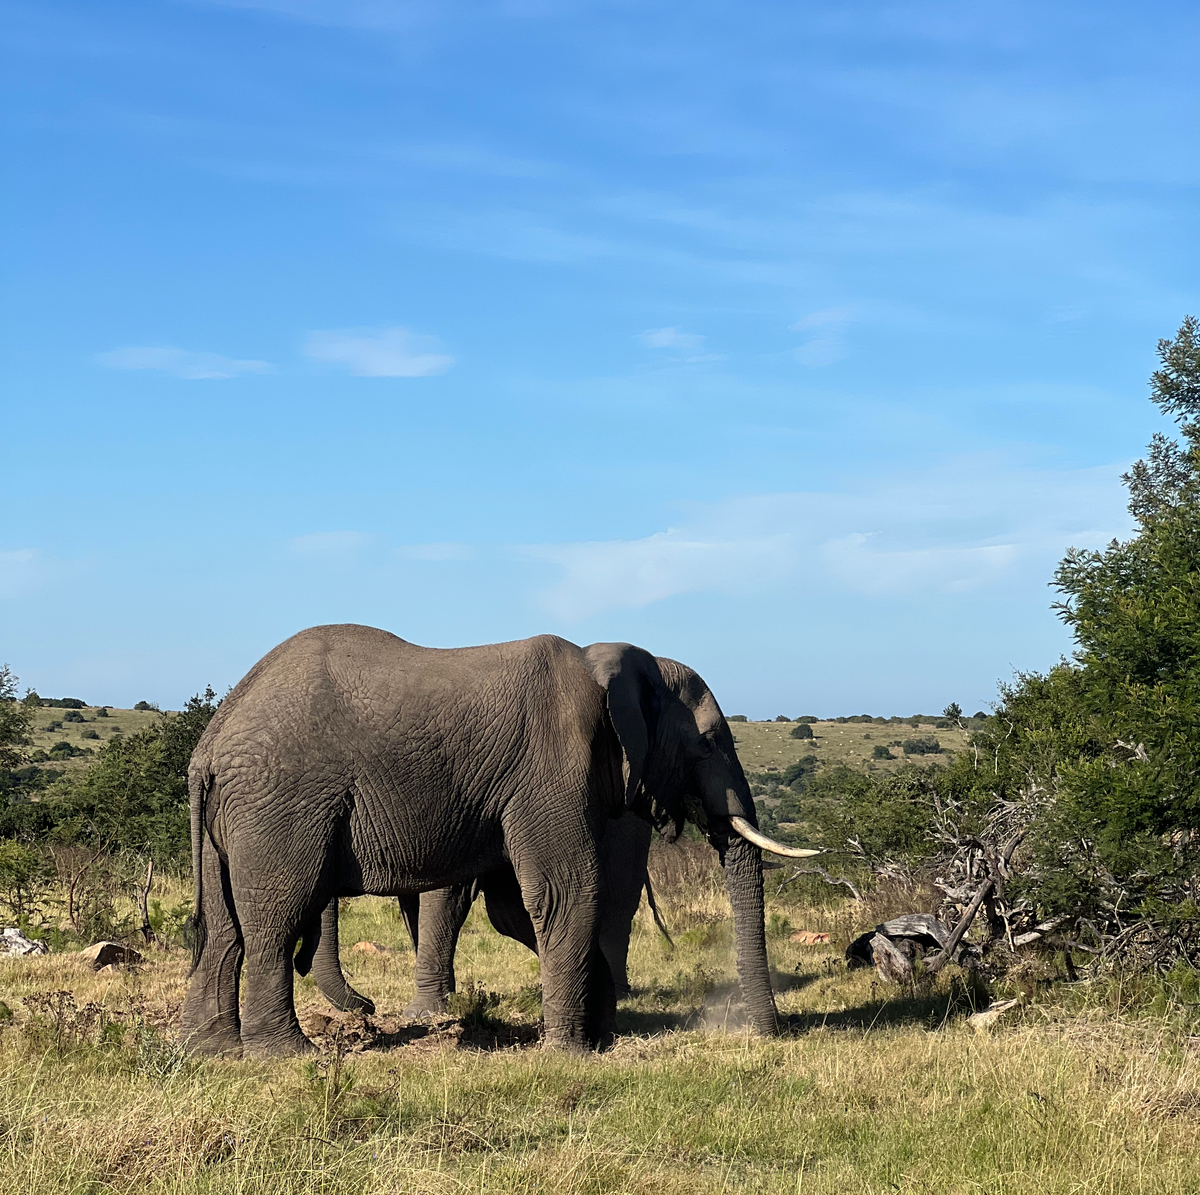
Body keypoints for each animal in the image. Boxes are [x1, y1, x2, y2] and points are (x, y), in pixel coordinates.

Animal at [299, 809, 664, 1018]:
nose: (368, 1006)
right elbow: (413, 901)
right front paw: (444, 1000)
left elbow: (444, 892)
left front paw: (424, 1013)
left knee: (615, 905)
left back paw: (618, 993)